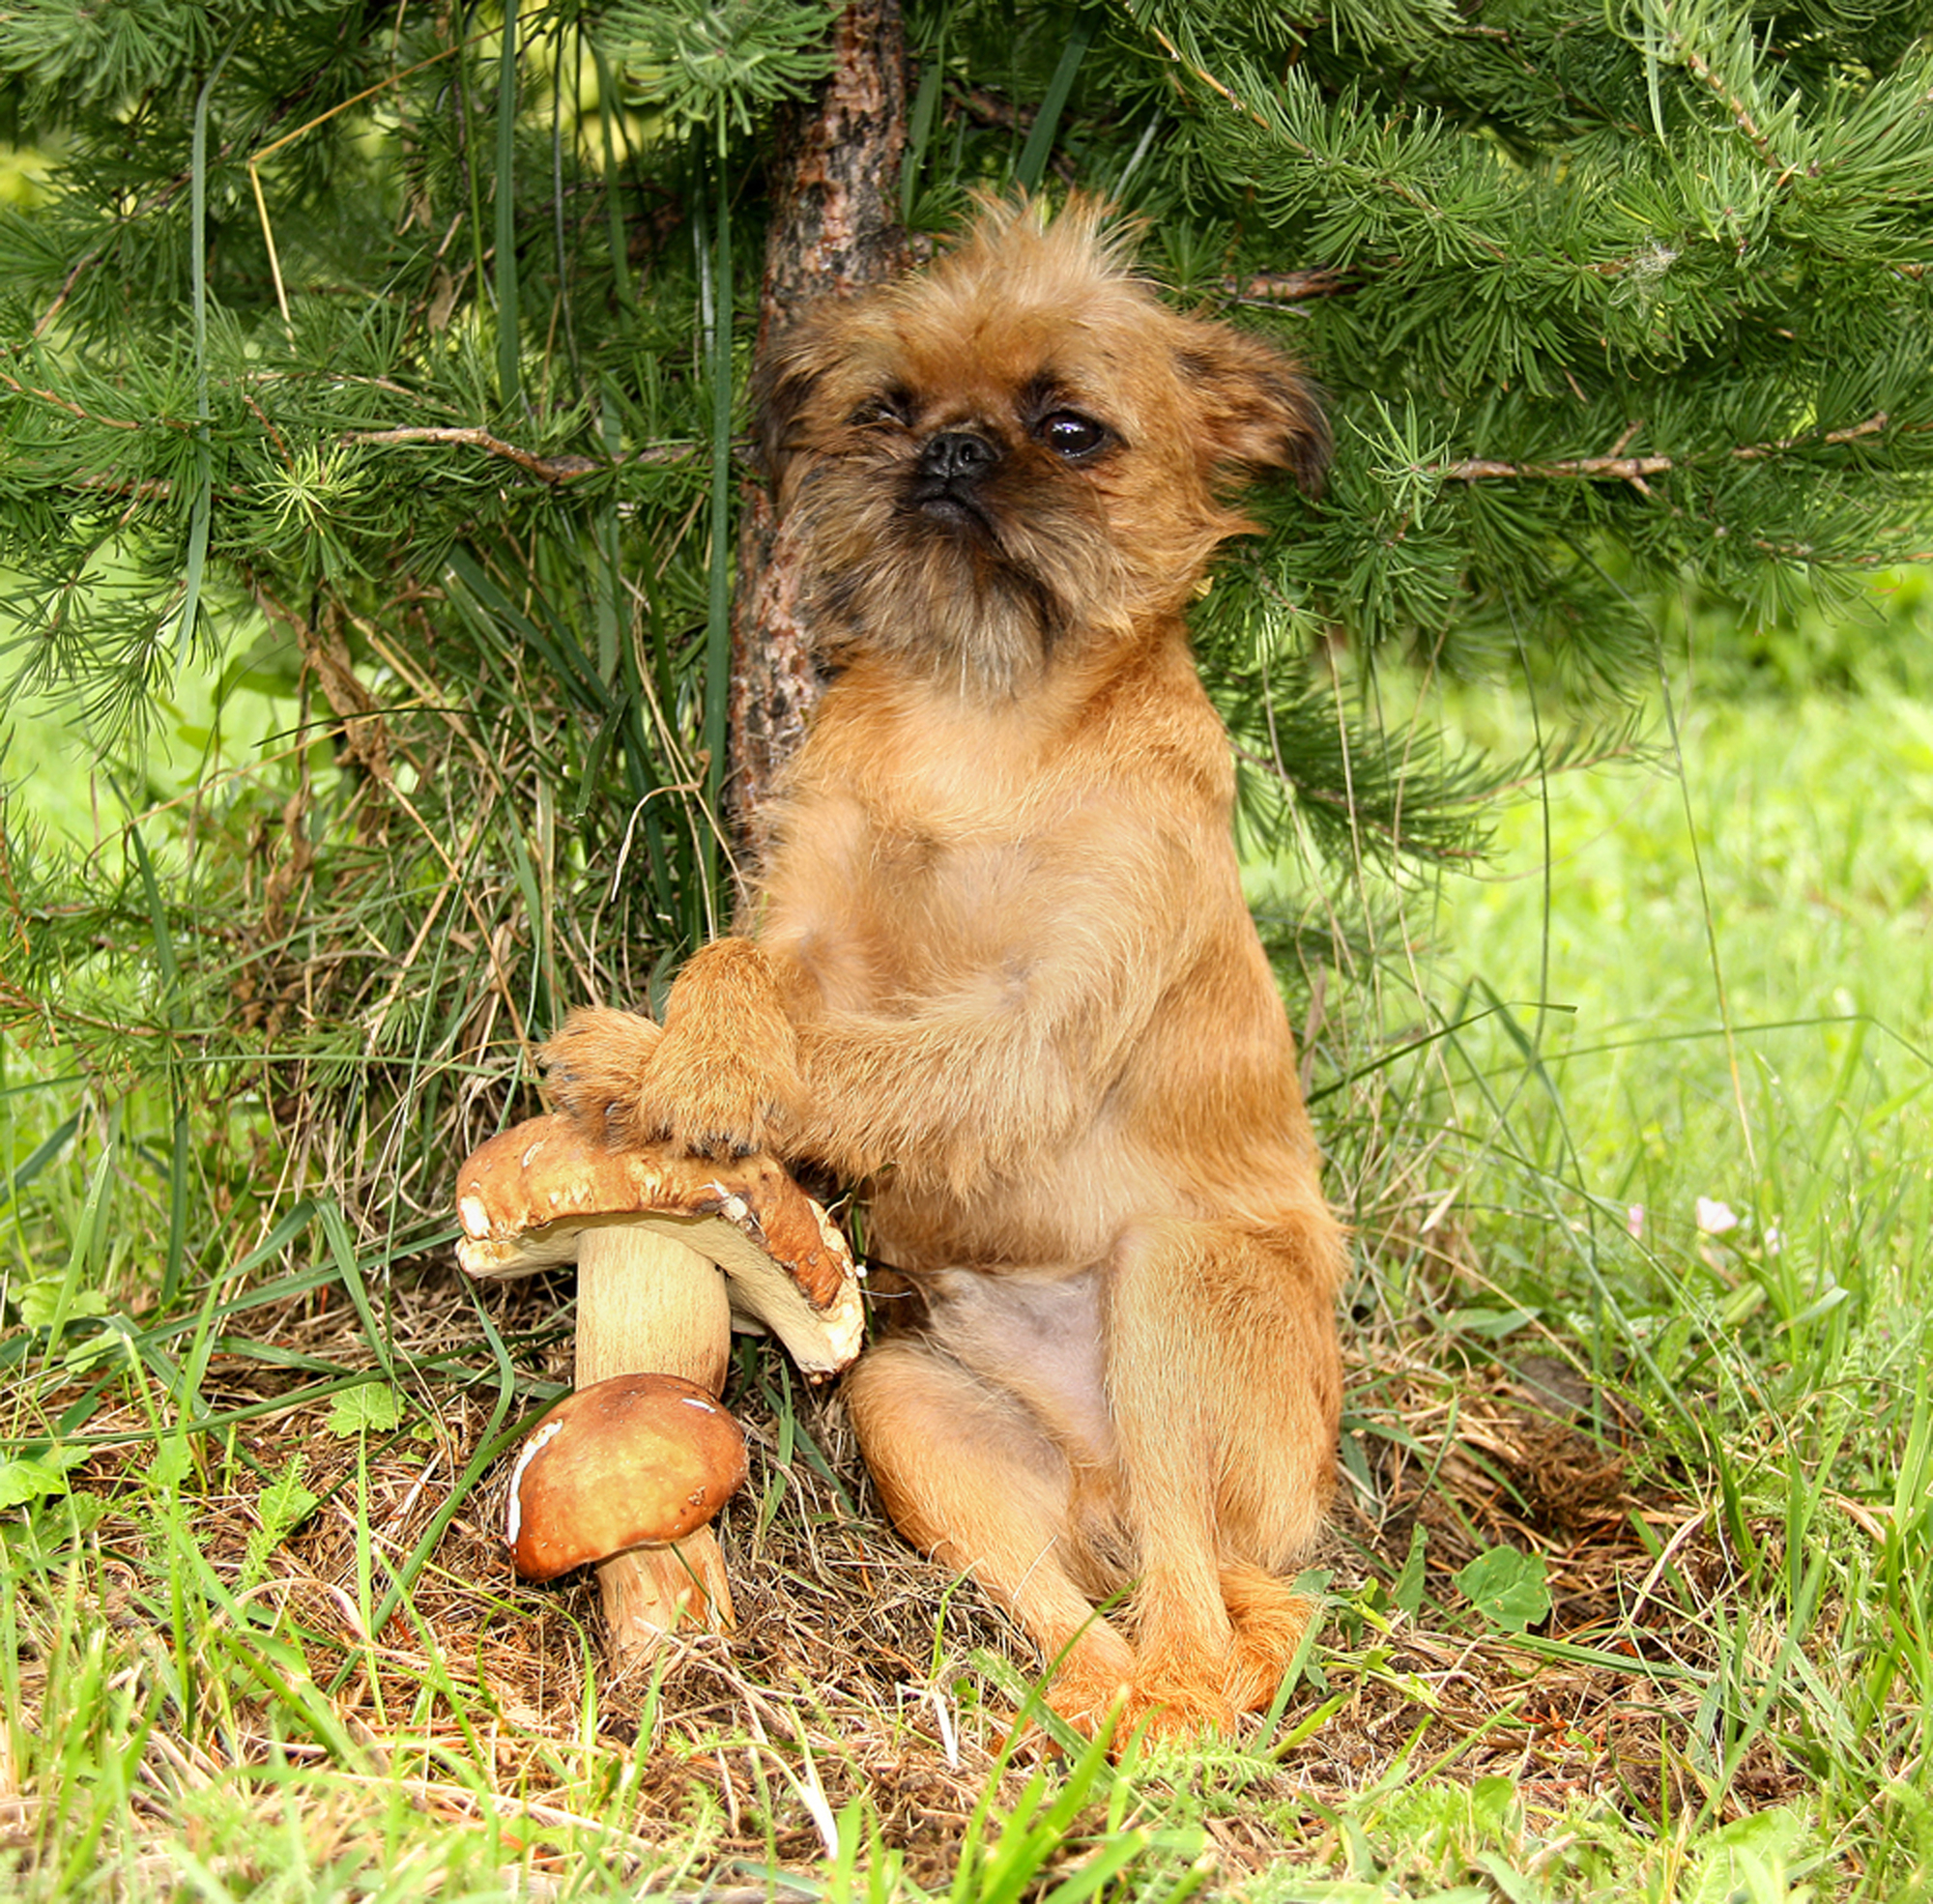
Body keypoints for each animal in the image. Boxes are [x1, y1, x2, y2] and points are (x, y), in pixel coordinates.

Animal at [549, 197, 1345, 1740]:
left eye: (1072, 427)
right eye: (889, 405)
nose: (953, 449)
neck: (986, 713)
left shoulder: (1033, 1028)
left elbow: (860, 1061)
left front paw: (646, 1061)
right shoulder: (805, 922)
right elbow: (738, 961)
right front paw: (700, 1044)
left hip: (1176, 1288)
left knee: (1215, 1615)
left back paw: (1173, 1707)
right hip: (908, 1407)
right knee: (1075, 1608)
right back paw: (1075, 1708)